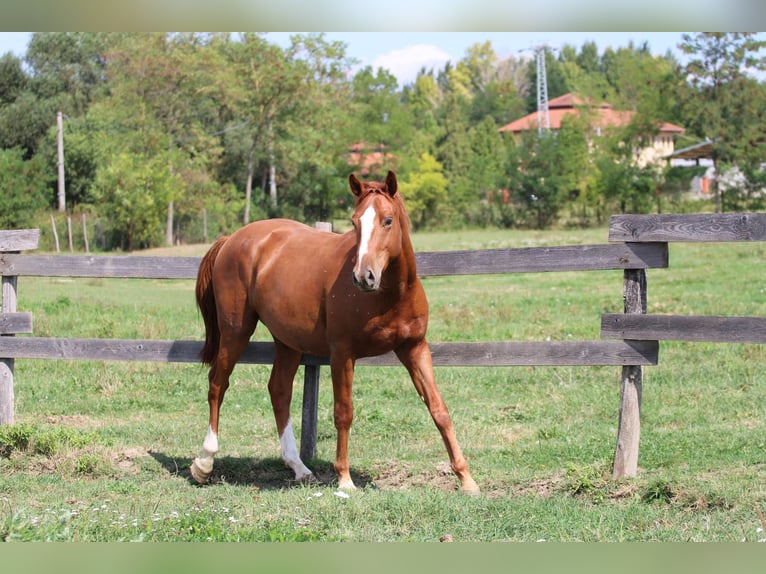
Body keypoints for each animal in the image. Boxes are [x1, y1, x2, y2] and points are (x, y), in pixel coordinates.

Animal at [190, 171, 479, 494]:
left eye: (388, 220)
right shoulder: (342, 353)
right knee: (218, 383)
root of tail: (232, 239)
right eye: (354, 222)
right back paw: (204, 463)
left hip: (287, 341)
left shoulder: (414, 347)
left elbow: (439, 409)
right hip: (235, 331)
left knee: (279, 390)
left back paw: (299, 468)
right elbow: (344, 412)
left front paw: (467, 479)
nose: (364, 277)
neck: (391, 295)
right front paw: (344, 479)